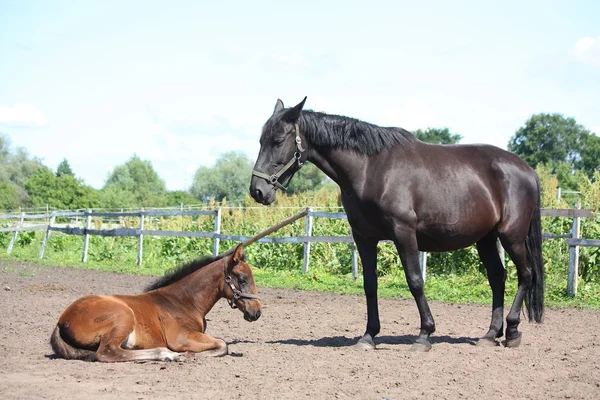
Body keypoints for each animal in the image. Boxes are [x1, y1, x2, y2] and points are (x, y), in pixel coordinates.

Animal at [49, 244, 260, 362]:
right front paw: (190, 355)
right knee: (107, 353)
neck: (182, 301)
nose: (256, 312)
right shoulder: (181, 337)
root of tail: (62, 320)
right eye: (242, 279)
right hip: (123, 316)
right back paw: (167, 355)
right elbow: (223, 345)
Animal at [248, 98, 544, 352]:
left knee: (526, 274)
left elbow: (415, 281)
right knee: (497, 278)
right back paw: (491, 334)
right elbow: (369, 284)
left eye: (277, 140)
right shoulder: (363, 237)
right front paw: (368, 336)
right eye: (260, 140)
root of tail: (527, 170)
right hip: (485, 238)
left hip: (511, 236)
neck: (371, 169)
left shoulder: (404, 234)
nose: (257, 191)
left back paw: (512, 332)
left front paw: (424, 335)